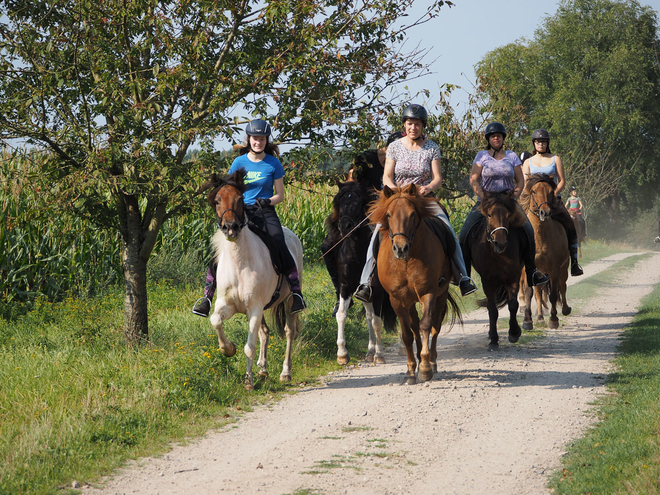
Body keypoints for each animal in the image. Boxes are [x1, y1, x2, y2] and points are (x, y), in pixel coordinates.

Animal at [204, 170, 302, 392]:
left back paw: (285, 373)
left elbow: (249, 347)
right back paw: (263, 370)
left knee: (289, 332)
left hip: (289, 301)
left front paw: (248, 381)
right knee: (264, 332)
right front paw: (228, 349)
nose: (230, 228)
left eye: (240, 199)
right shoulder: (227, 305)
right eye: (217, 200)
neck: (239, 262)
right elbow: (215, 321)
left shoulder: (255, 308)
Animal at [372, 184, 458, 386]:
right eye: (388, 214)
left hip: (441, 296)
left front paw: (426, 368)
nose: (400, 248)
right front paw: (411, 371)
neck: (407, 260)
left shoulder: (429, 293)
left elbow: (427, 325)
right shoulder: (396, 299)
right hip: (409, 301)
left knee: (435, 326)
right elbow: (407, 334)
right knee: (414, 325)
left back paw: (431, 362)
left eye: (412, 214)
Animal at [462, 192, 528, 350]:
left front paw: (514, 333)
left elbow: (512, 304)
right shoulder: (487, 280)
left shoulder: (513, 277)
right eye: (489, 215)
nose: (500, 243)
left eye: (508, 215)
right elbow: (492, 310)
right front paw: (493, 340)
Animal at [520, 176, 572, 332]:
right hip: (539, 274)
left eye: (551, 192)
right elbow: (529, 293)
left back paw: (565, 309)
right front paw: (528, 321)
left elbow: (554, 295)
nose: (545, 213)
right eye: (533, 191)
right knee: (538, 292)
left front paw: (554, 320)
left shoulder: (554, 269)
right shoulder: (528, 270)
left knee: (562, 285)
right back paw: (540, 317)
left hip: (563, 268)